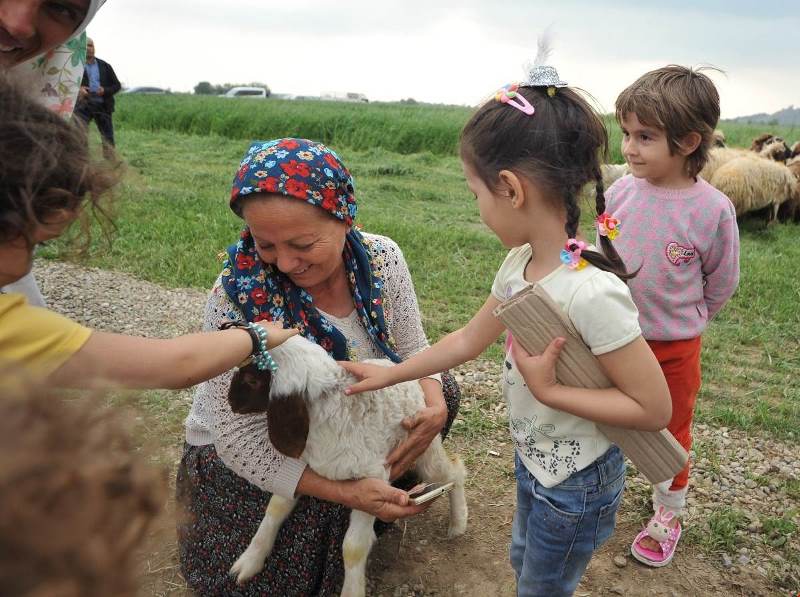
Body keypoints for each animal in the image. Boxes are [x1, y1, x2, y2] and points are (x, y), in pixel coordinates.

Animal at [227, 336, 468, 596]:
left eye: (252, 380)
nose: (230, 401)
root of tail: (395, 366)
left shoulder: (374, 479)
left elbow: (353, 548)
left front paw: (352, 589)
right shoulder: (301, 466)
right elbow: (276, 507)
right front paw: (249, 560)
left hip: (425, 448)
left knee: (454, 470)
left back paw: (458, 522)